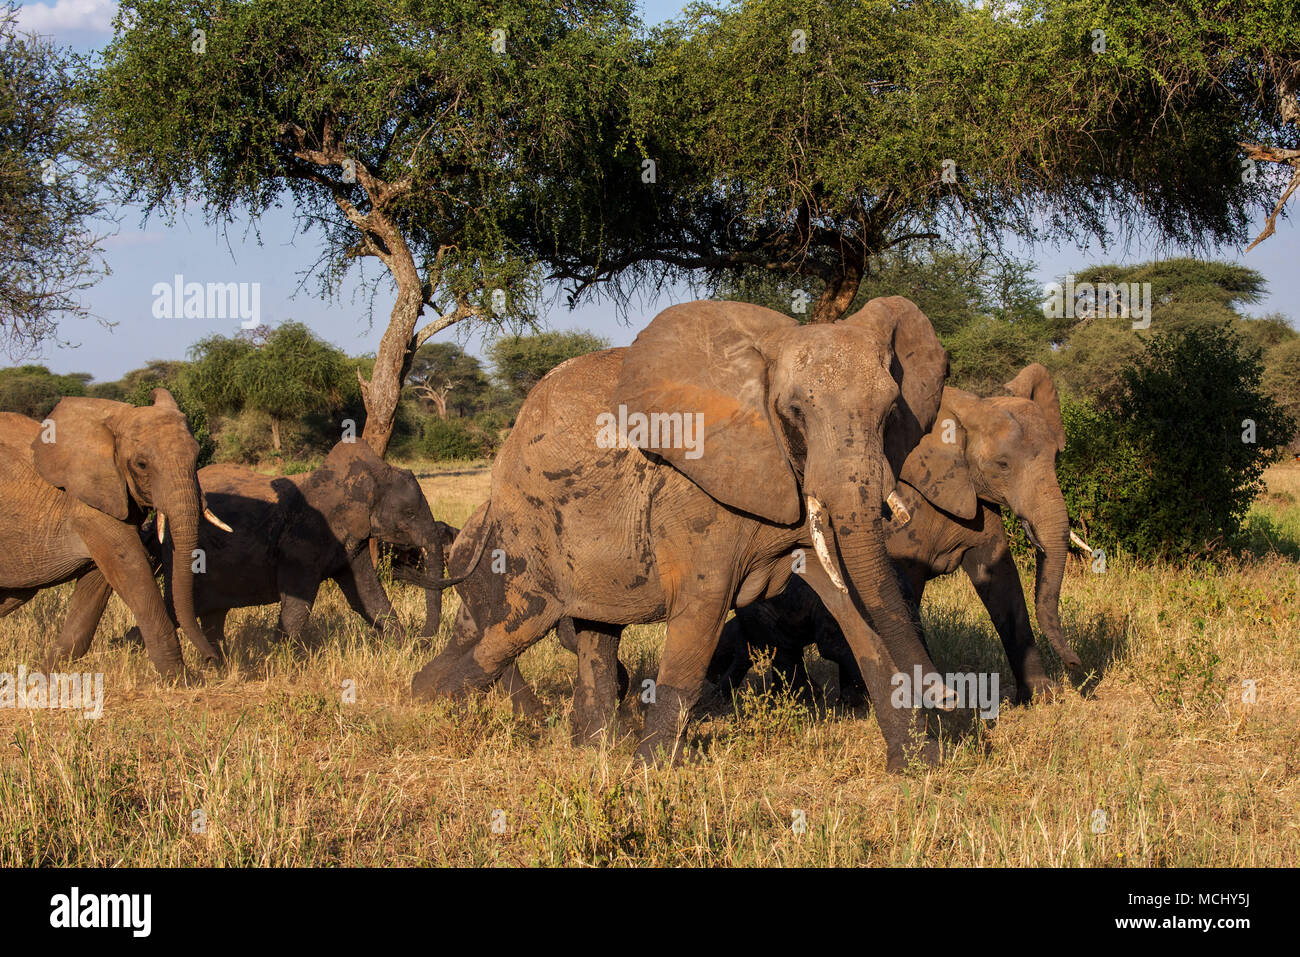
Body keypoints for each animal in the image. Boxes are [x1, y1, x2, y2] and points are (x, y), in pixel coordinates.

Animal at [0, 387, 226, 670]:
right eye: (141, 464)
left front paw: (44, 675)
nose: (212, 659)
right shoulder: (90, 506)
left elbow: (96, 586)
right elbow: (132, 571)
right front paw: (180, 678)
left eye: (196, 458)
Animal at [152, 439, 454, 650]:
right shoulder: (302, 540)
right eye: (409, 514)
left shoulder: (352, 540)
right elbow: (299, 606)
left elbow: (368, 596)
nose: (422, 642)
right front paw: (279, 661)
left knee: (213, 615)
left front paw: (402, 650)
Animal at [410, 295, 961, 774]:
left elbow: (854, 607)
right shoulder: (695, 497)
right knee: (517, 626)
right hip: (527, 524)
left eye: (890, 412)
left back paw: (591, 749)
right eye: (794, 412)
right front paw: (649, 774)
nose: (952, 696)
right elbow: (702, 607)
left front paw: (918, 769)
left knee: (596, 633)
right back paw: (419, 707)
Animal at [707, 361, 1081, 707]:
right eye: (1002, 465)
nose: (1075, 664)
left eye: (1056, 456)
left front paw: (1042, 697)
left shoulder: (976, 500)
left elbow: (1002, 582)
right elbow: (907, 597)